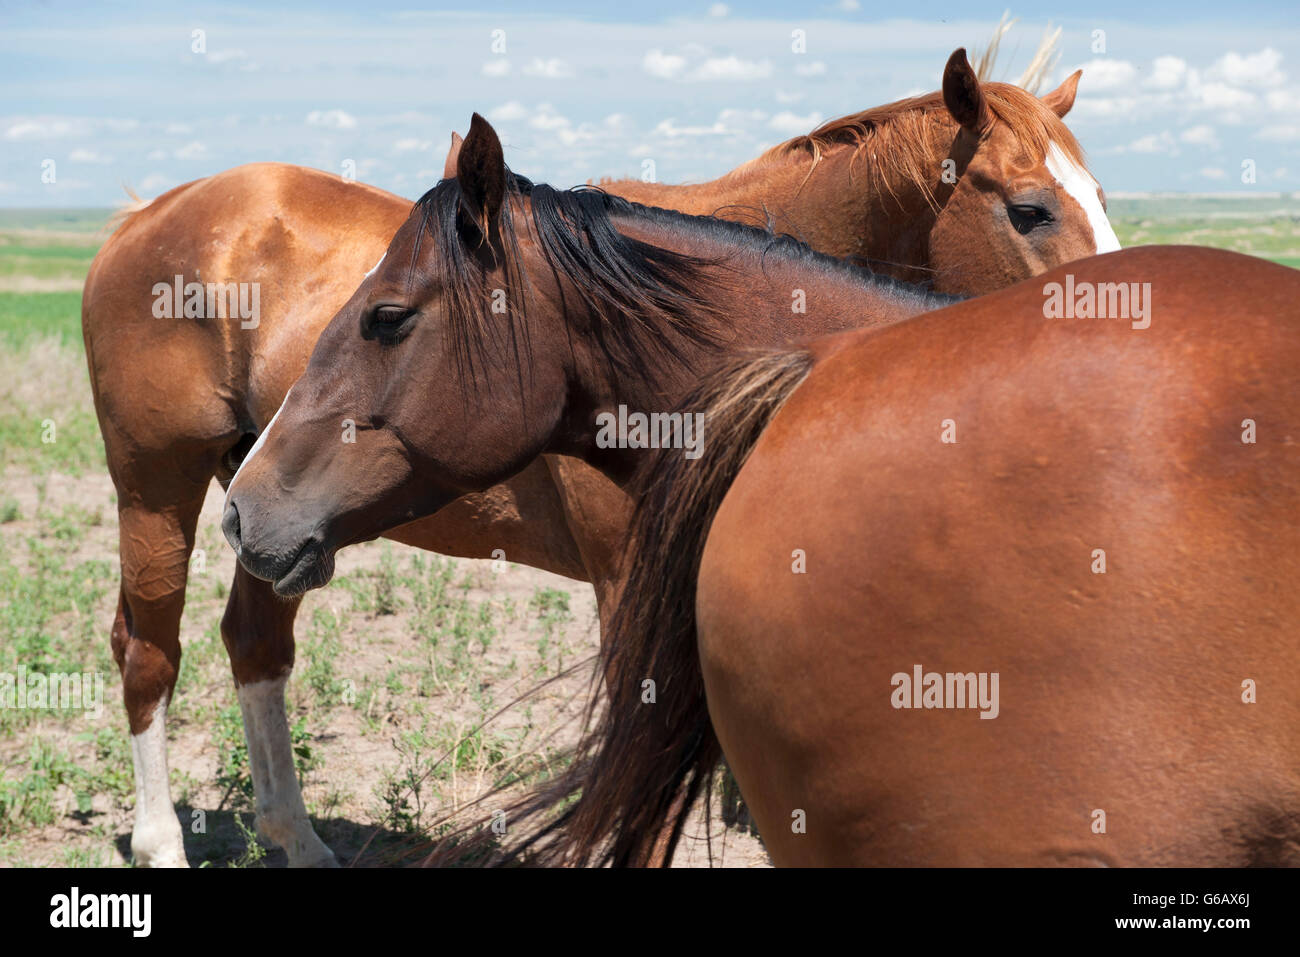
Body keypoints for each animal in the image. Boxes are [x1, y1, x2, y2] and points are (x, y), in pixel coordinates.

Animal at [83, 44, 1118, 868]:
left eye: (1104, 199)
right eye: (1031, 210)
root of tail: (149, 215)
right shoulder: (629, 585)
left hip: (268, 524)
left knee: (255, 643)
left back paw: (296, 838)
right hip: (160, 490)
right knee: (149, 653)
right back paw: (163, 843)